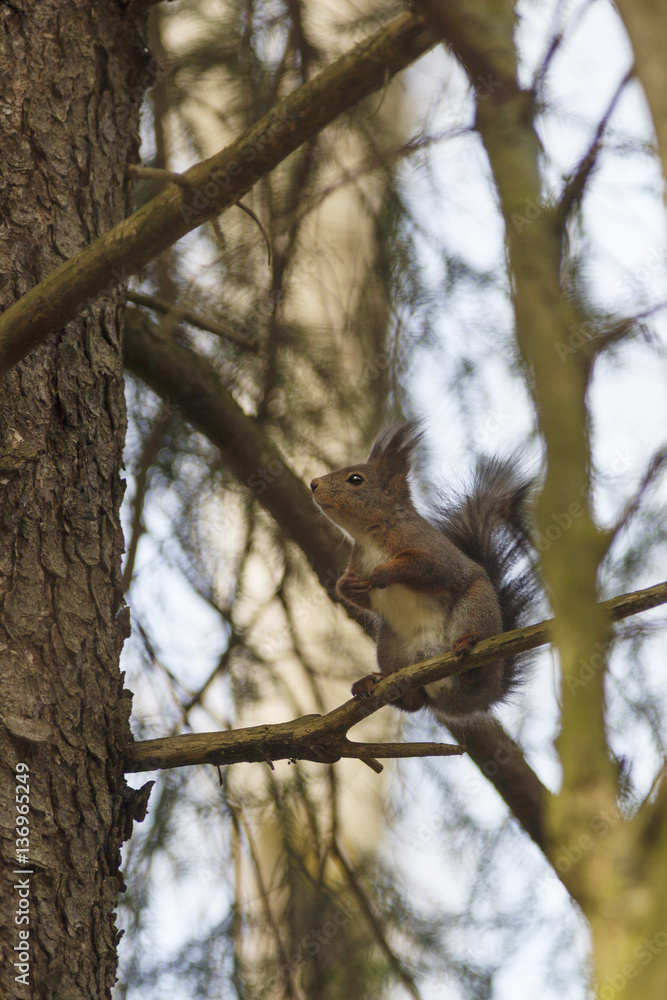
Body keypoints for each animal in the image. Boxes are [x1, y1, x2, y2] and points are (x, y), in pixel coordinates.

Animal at [310, 420, 539, 725]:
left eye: (356, 479)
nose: (313, 484)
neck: (371, 535)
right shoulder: (358, 561)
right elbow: (358, 595)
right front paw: (349, 586)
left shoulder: (430, 548)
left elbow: (430, 568)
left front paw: (386, 572)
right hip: (390, 644)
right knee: (414, 702)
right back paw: (374, 681)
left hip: (475, 608)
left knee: (475, 667)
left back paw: (470, 657)